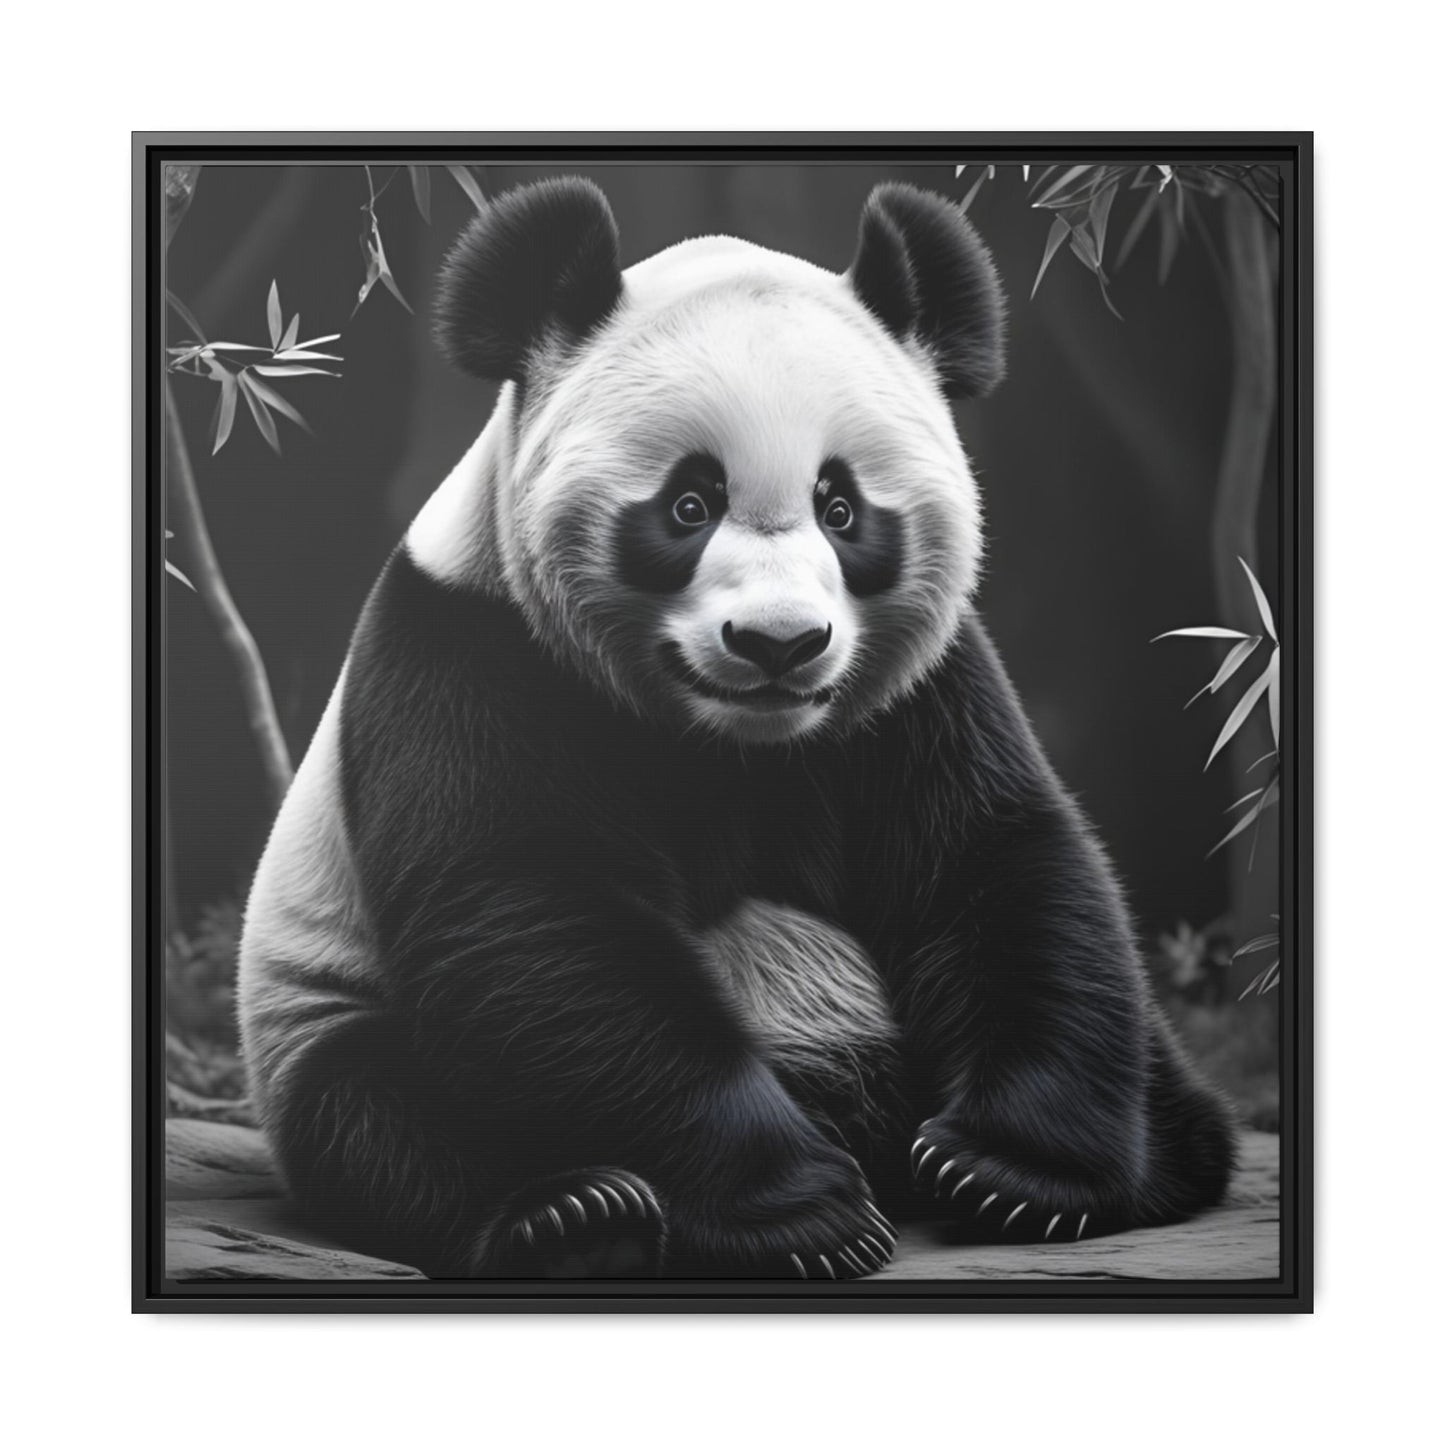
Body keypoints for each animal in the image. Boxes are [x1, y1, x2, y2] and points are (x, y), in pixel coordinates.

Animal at [238, 177, 1237, 1280]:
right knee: (382, 1115)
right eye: (687, 503)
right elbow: (531, 914)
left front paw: (1009, 1172)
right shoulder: (473, 654)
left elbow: (992, 859)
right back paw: (577, 1217)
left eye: (841, 506)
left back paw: (1163, 1152)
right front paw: (802, 1214)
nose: (778, 643)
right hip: (317, 1012)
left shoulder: (918, 690)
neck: (733, 743)